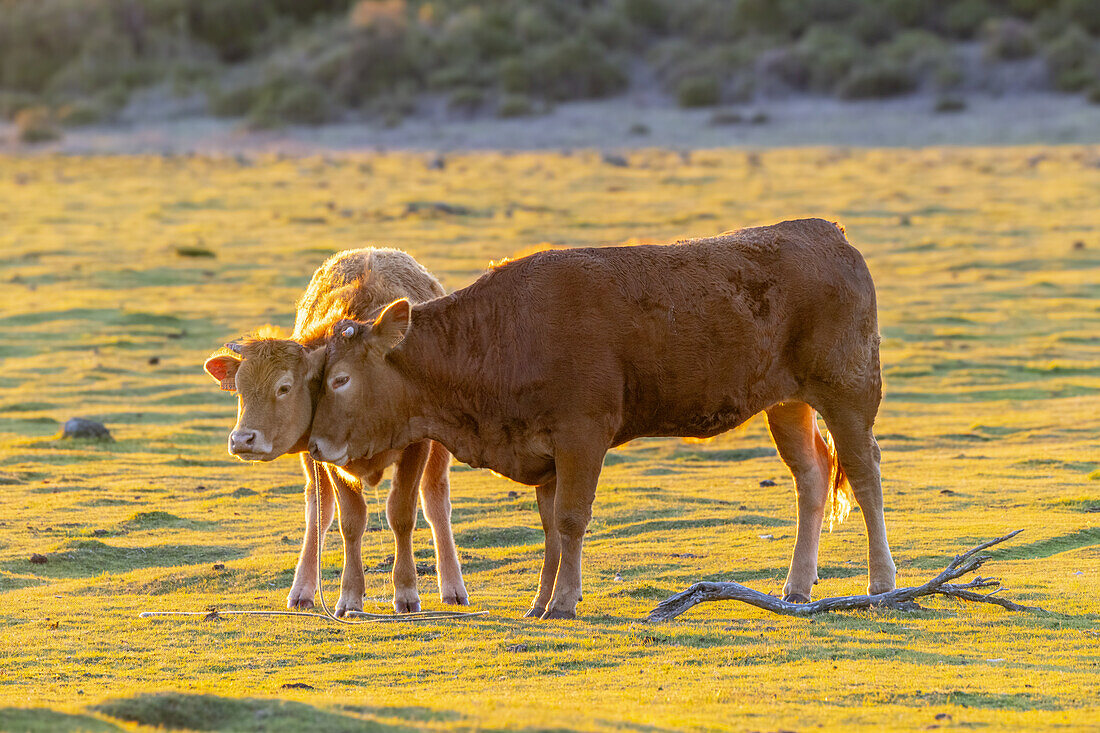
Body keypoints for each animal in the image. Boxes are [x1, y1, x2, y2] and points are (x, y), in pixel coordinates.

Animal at [204, 248, 466, 611]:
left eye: (284, 387)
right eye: (240, 389)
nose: (243, 439)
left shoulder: (419, 446)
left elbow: (402, 514)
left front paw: (406, 592)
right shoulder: (325, 453)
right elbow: (350, 521)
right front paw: (351, 596)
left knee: (436, 503)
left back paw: (453, 585)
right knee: (319, 511)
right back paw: (302, 589)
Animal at [308, 217, 893, 616]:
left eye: (340, 379)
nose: (315, 445)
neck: (502, 334)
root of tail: (826, 232)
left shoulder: (582, 435)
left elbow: (570, 518)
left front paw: (564, 601)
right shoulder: (543, 447)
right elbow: (549, 525)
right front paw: (540, 602)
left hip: (849, 391)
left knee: (864, 474)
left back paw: (882, 583)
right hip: (787, 402)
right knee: (812, 476)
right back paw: (796, 586)